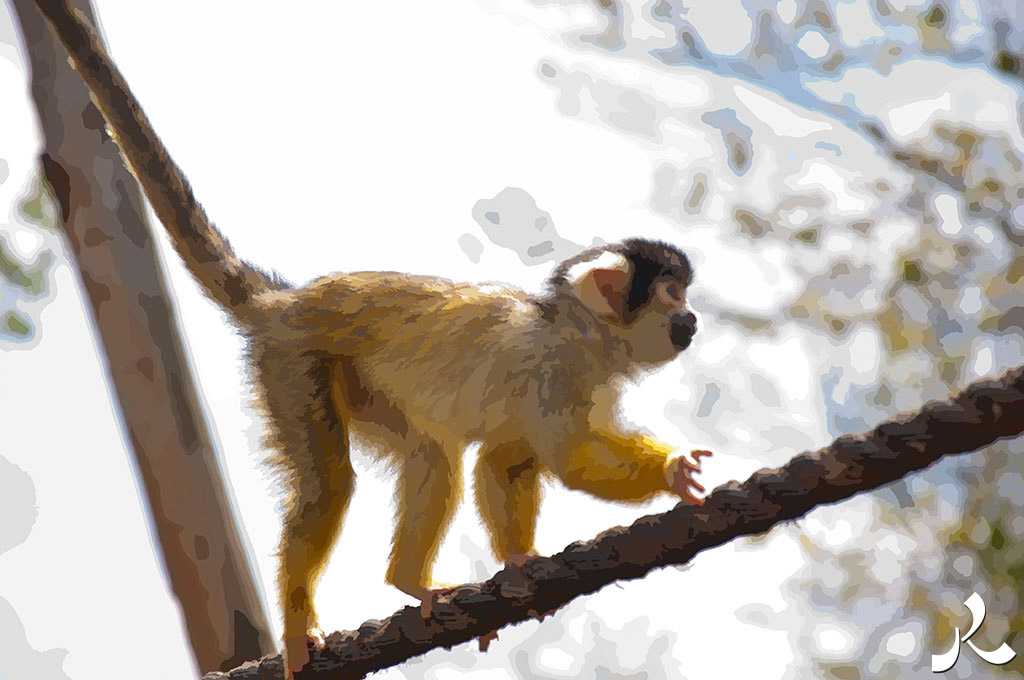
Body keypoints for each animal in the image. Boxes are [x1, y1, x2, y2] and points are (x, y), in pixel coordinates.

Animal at [33, 1, 713, 677]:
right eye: (672, 294)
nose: (692, 319)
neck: (582, 334)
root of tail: (286, 303)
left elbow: (504, 461)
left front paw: (520, 560)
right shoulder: (553, 367)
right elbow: (566, 459)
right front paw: (673, 471)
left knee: (431, 449)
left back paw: (407, 579)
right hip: (293, 363)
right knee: (331, 483)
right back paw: (300, 621)